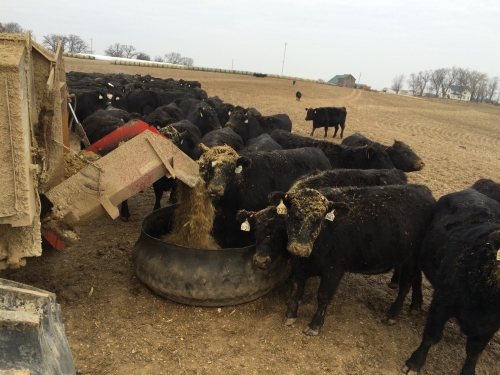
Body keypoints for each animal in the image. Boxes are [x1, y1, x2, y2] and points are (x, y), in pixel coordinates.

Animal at [280, 187, 436, 336]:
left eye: (319, 219)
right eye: (292, 214)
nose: (300, 248)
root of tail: (424, 192)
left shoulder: (334, 269)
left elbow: (323, 296)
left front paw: (314, 325)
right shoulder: (299, 266)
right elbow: (297, 289)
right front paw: (290, 315)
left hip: (412, 259)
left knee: (405, 285)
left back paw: (392, 315)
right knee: (416, 278)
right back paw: (416, 305)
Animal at [402, 191, 500, 375]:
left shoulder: (490, 325)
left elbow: (474, 352)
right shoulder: (442, 302)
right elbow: (432, 335)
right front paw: (414, 363)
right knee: (416, 278)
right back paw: (416, 304)